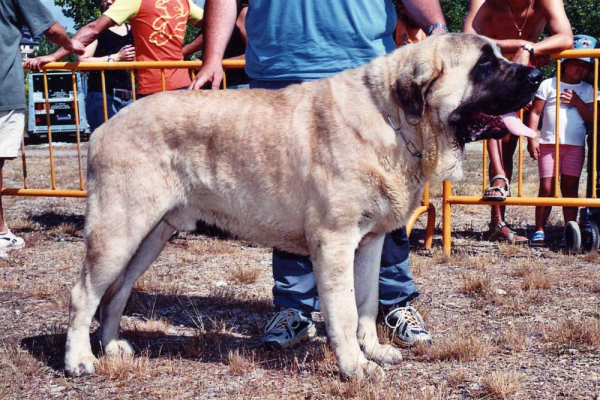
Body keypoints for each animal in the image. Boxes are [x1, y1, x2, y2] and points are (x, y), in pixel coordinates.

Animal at [65, 33, 544, 378]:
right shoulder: (334, 243)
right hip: (119, 230)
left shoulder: (369, 243)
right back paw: (79, 360)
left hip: (152, 235)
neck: (393, 120)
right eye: (485, 65)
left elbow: (367, 303)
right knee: (84, 293)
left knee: (117, 291)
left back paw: (111, 347)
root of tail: (104, 127)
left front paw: (374, 351)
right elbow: (344, 308)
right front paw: (354, 366)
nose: (537, 75)